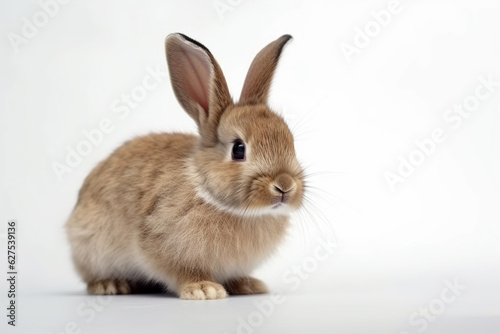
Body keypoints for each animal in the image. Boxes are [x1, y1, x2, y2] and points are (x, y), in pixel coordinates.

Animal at [66, 33, 304, 300]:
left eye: (290, 141)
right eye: (238, 149)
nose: (285, 186)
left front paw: (247, 285)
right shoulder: (161, 244)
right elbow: (182, 271)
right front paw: (204, 289)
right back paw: (110, 285)